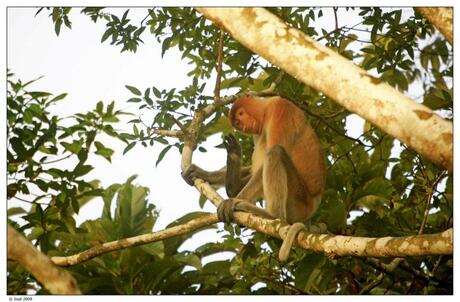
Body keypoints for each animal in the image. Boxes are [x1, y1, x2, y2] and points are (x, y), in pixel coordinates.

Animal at [181, 96, 326, 260]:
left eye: (241, 114)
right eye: (237, 123)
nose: (243, 126)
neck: (266, 110)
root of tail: (314, 202)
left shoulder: (280, 110)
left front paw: (231, 202)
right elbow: (254, 169)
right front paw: (201, 173)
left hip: (300, 200)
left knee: (275, 152)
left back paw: (272, 215)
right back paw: (233, 168)